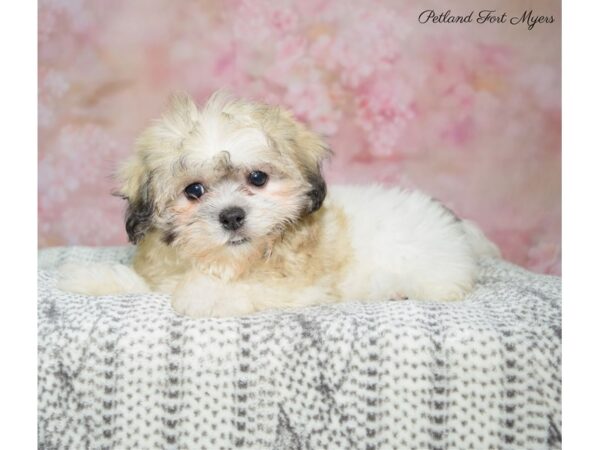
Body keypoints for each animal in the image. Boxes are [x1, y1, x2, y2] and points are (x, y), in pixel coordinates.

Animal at [58, 91, 500, 316]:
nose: (232, 216)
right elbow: (144, 283)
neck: (228, 261)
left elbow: (240, 290)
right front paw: (91, 278)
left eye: (258, 178)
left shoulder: (298, 287)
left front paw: (199, 294)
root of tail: (456, 226)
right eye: (194, 191)